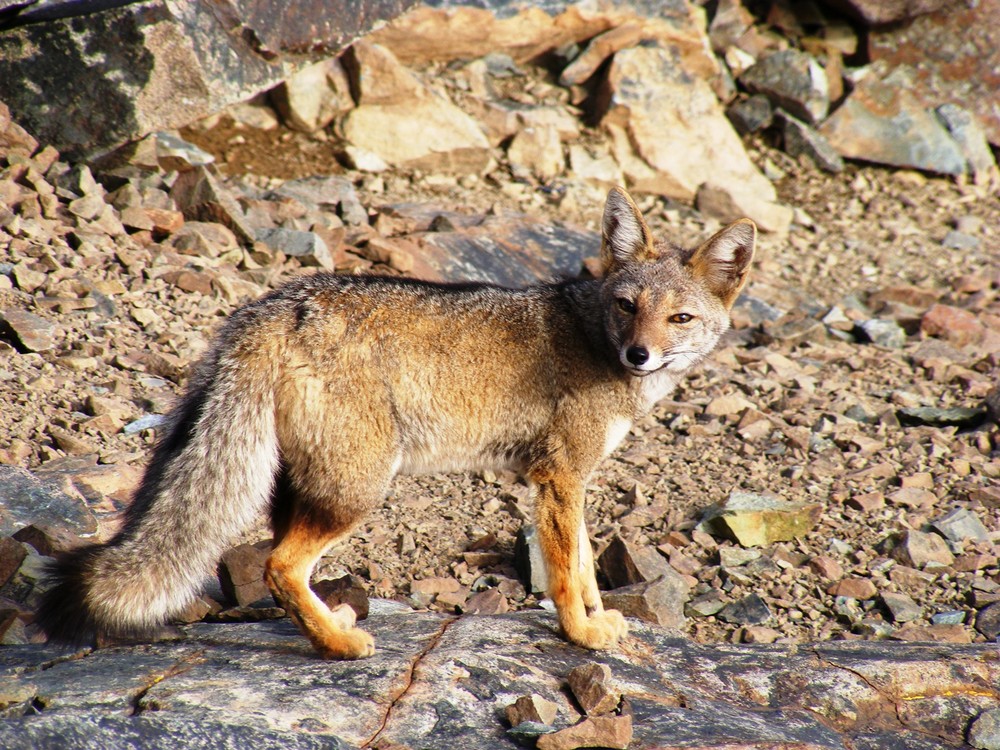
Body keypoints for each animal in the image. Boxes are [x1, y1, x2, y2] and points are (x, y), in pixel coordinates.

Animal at [39, 187, 756, 656]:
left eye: (679, 318)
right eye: (628, 305)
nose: (639, 354)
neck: (592, 334)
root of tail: (278, 302)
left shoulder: (569, 480)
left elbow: (582, 563)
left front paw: (599, 619)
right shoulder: (559, 477)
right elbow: (564, 571)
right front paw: (579, 633)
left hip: (303, 486)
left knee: (281, 567)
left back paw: (327, 631)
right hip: (359, 489)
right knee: (278, 566)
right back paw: (340, 646)